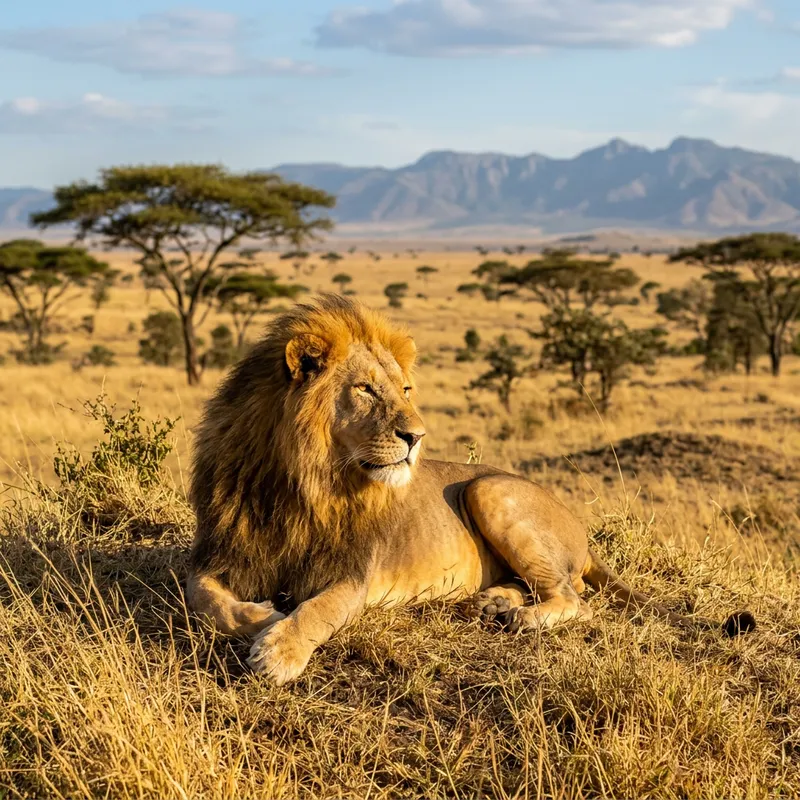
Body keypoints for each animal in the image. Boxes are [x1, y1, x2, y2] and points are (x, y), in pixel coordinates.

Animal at [187, 294, 755, 685]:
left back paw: (519, 617)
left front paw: (278, 650)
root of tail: (583, 534)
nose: (416, 436)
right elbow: (205, 600)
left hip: (491, 491)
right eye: (366, 389)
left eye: (405, 390)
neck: (301, 484)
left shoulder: (351, 575)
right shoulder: (218, 554)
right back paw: (492, 603)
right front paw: (261, 616)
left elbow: (316, 610)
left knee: (574, 598)